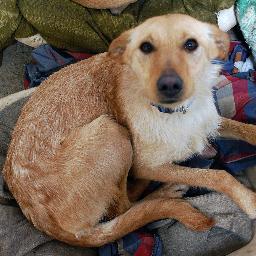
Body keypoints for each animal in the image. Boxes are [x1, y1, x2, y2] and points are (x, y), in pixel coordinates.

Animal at [3, 14, 256, 246]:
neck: (177, 114)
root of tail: (48, 225)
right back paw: (160, 193)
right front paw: (249, 200)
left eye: (191, 44)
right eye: (146, 47)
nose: (169, 85)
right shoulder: (146, 164)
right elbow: (216, 176)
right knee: (123, 208)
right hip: (113, 133)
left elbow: (245, 129)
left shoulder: (209, 123)